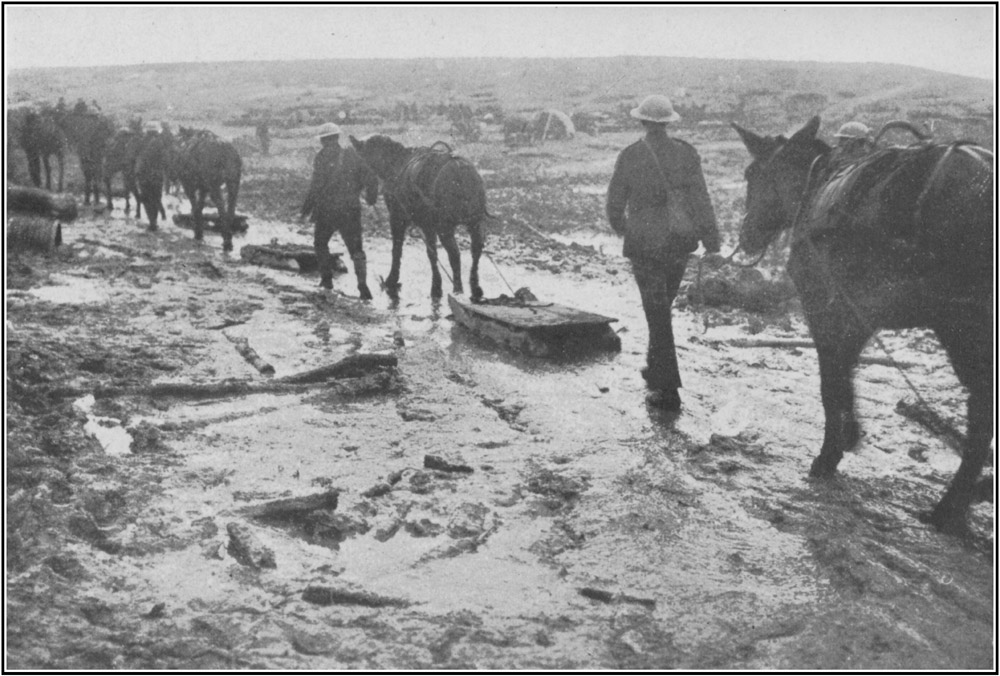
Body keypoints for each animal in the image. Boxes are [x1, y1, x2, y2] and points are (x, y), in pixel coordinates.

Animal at [350, 135, 486, 298]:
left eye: (360, 162)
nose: (369, 197)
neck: (397, 164)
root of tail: (462, 171)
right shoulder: (427, 225)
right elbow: (432, 253)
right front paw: (436, 285)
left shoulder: (399, 219)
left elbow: (398, 249)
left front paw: (393, 279)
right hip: (475, 222)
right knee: (476, 250)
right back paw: (474, 287)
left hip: (445, 228)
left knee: (454, 254)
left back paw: (458, 288)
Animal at [732, 116, 996, 536]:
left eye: (752, 174)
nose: (746, 235)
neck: (815, 191)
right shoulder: (857, 314)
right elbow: (846, 375)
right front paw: (850, 433)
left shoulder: (826, 309)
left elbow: (831, 383)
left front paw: (828, 454)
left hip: (964, 330)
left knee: (981, 413)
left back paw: (950, 508)